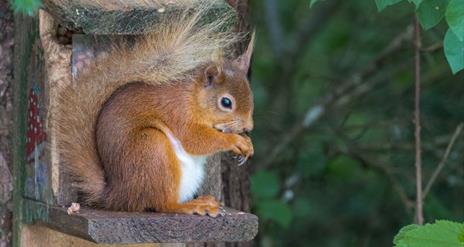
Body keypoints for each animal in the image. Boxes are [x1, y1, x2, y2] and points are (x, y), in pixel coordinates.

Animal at [53, 1, 254, 216]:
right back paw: (191, 206)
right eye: (226, 102)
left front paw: (248, 144)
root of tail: (117, 195)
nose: (248, 127)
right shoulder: (178, 111)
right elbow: (194, 140)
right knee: (163, 204)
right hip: (151, 148)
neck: (193, 97)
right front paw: (234, 140)